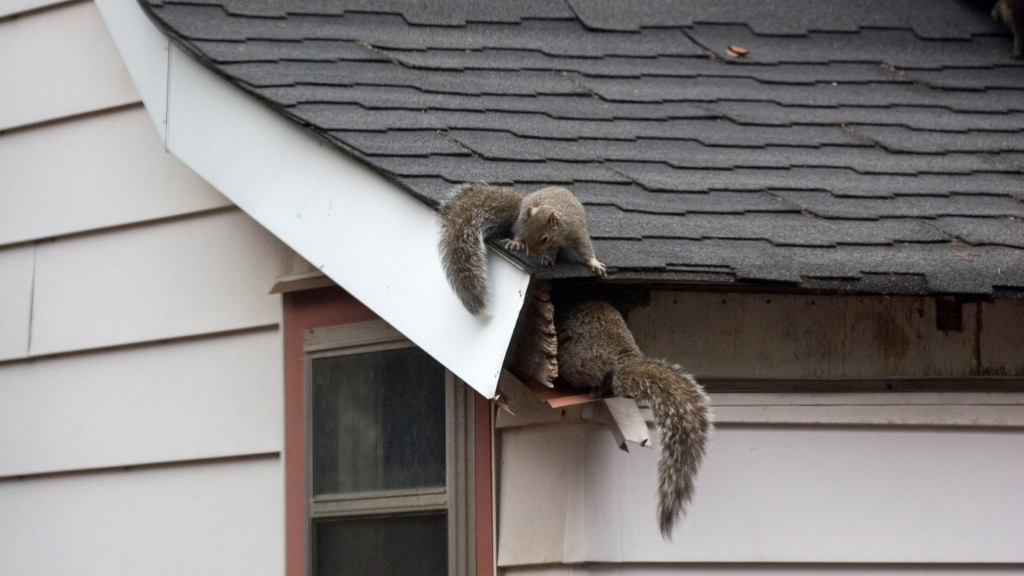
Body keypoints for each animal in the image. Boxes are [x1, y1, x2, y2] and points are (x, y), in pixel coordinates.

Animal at [439, 183, 606, 316]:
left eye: (544, 238)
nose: (529, 254)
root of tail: (521, 206)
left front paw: (594, 263)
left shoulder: (576, 232)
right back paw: (517, 243)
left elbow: (585, 248)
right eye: (528, 232)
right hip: (522, 218)